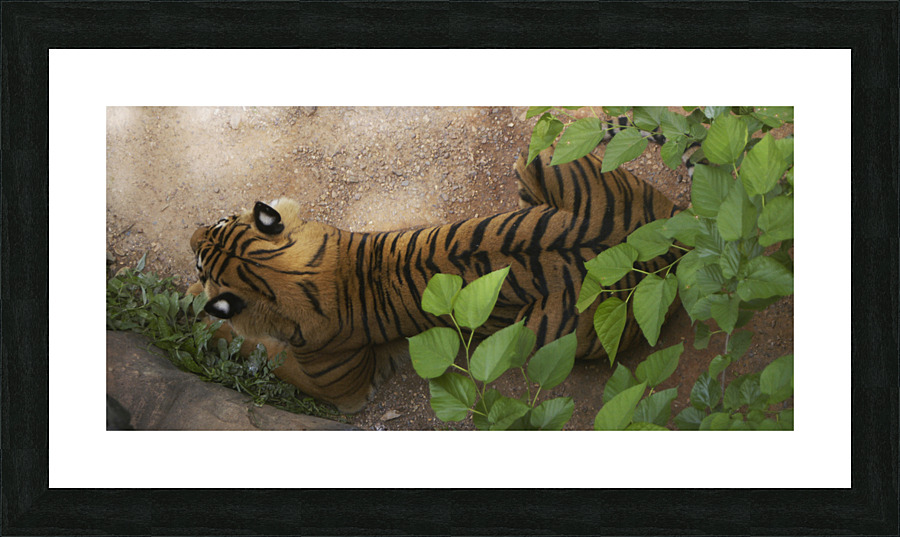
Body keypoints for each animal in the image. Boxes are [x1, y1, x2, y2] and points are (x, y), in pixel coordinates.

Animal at [188, 131, 683, 413]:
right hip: (539, 159)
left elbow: (257, 351)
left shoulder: (341, 391)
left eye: (214, 230)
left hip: (550, 332)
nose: (190, 234)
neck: (283, 271)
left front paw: (198, 314)